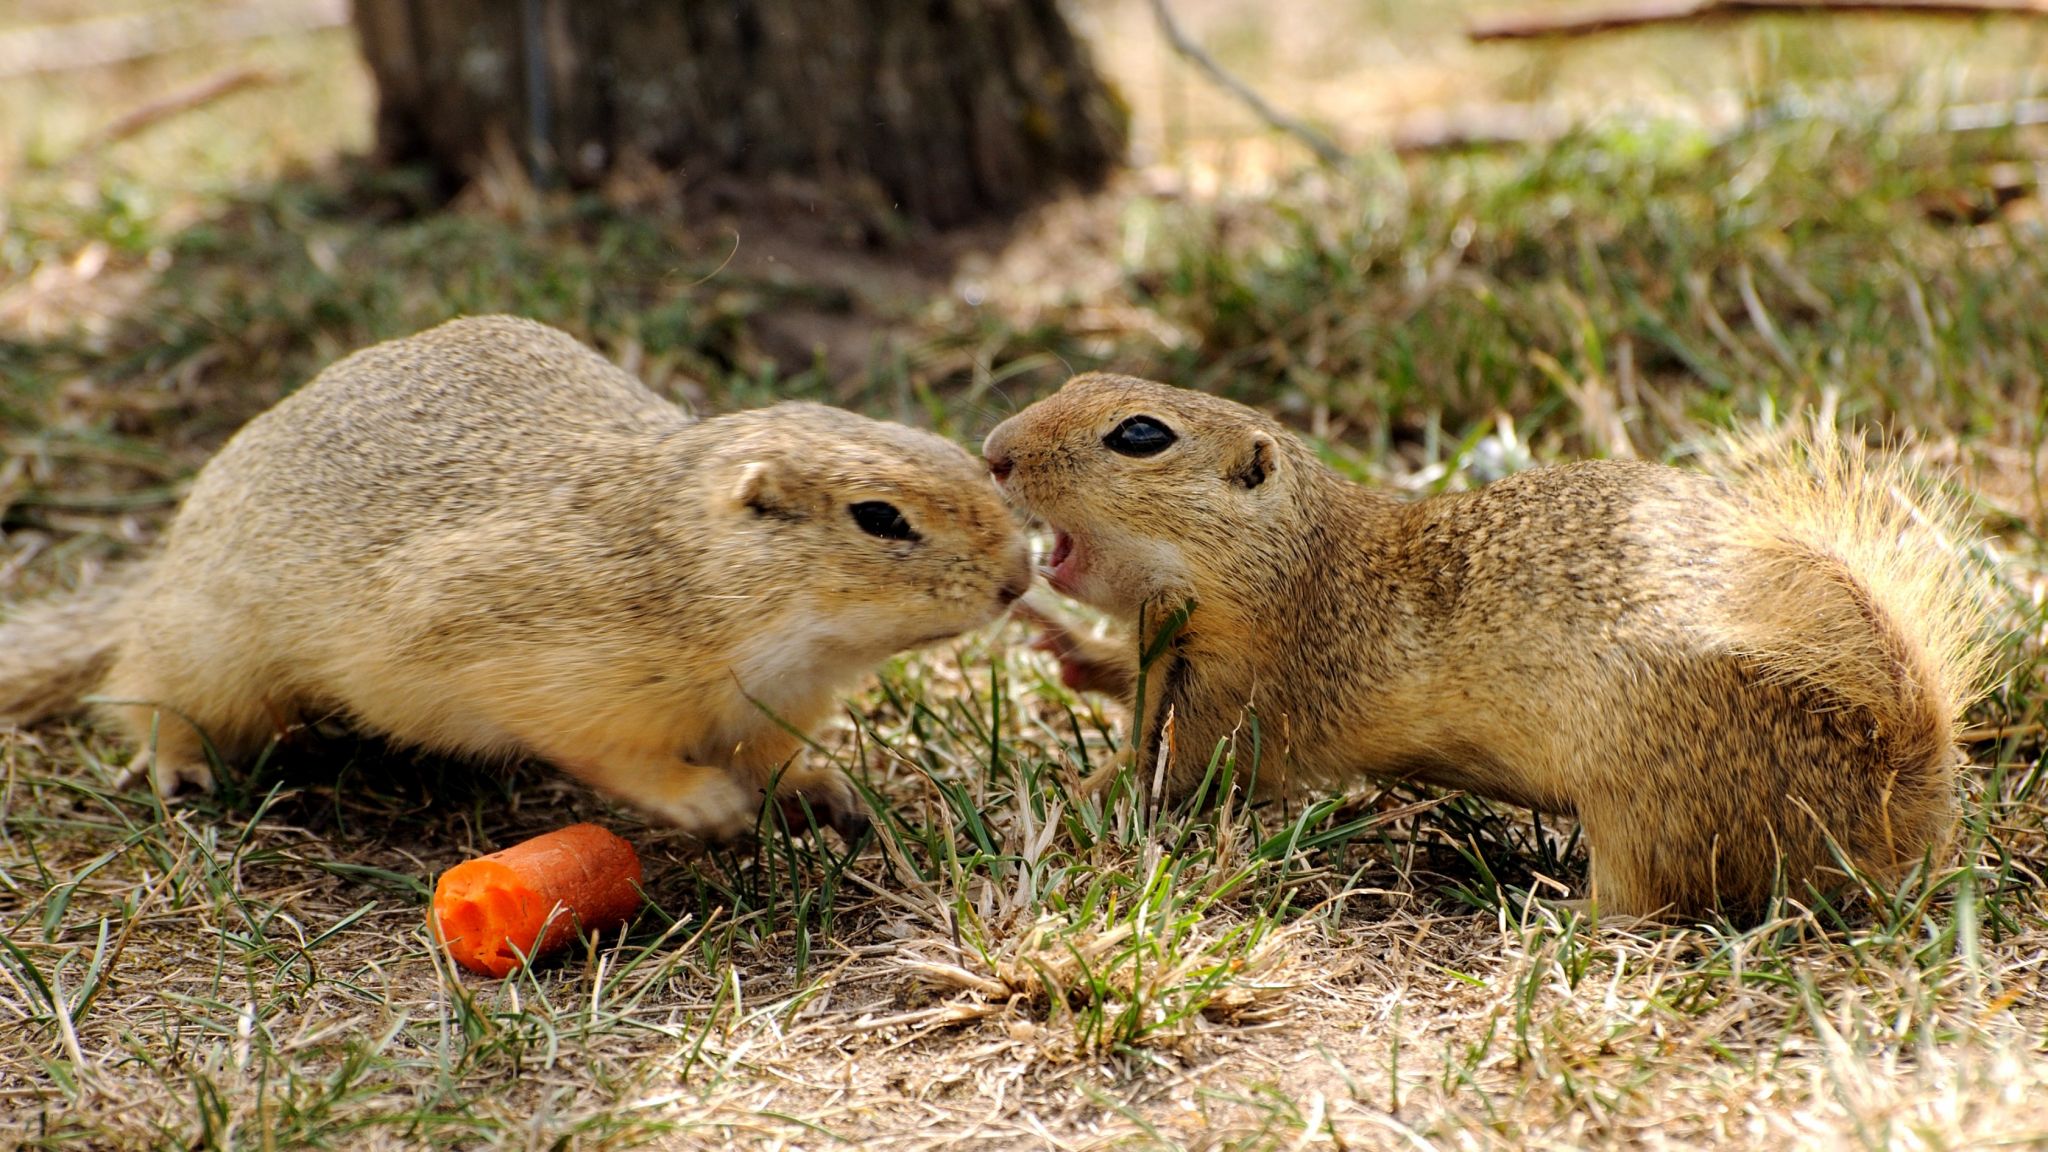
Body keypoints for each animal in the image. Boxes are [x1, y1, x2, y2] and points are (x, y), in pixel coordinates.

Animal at [0, 313, 1024, 832]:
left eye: (960, 454)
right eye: (880, 517)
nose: (1019, 577)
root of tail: (165, 561)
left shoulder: (771, 707)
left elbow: (772, 757)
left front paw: (822, 791)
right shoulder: (539, 661)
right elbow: (611, 753)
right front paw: (707, 805)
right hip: (217, 647)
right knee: (147, 688)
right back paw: (176, 769)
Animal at [983, 375, 1990, 914]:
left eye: (1139, 435)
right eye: (1075, 383)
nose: (993, 450)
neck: (1301, 562)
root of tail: (1904, 774)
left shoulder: (1243, 697)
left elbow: (1172, 778)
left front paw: (1053, 809)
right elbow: (1127, 699)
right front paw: (1061, 645)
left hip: (1643, 794)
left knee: (1643, 905)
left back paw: (1548, 914)